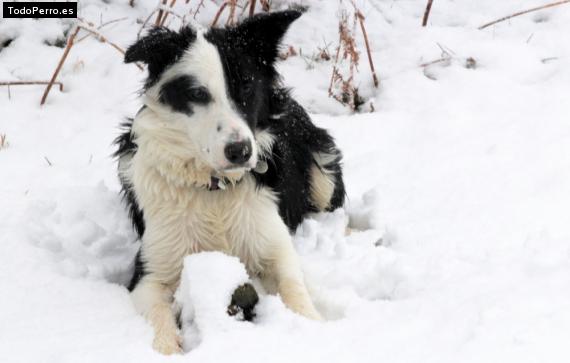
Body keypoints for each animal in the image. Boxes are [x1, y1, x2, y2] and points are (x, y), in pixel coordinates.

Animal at [111, 9, 342, 356]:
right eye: (197, 94)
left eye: (246, 87)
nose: (240, 151)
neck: (215, 189)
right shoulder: (149, 272)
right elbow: (159, 316)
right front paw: (168, 347)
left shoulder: (275, 246)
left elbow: (294, 289)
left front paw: (313, 329)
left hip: (323, 174)